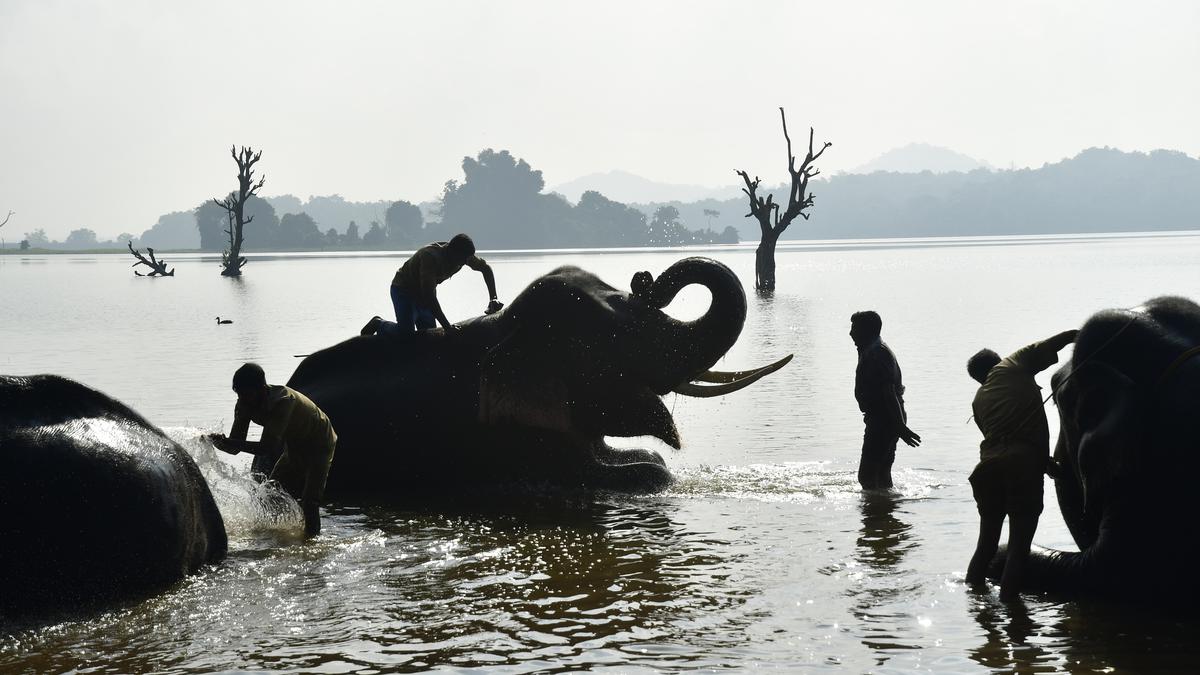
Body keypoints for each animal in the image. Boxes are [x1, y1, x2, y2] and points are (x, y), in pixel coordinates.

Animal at [284, 254, 792, 497]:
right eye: (614, 336)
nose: (646, 279)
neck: (507, 331)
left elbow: (644, 458)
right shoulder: (511, 437)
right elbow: (642, 473)